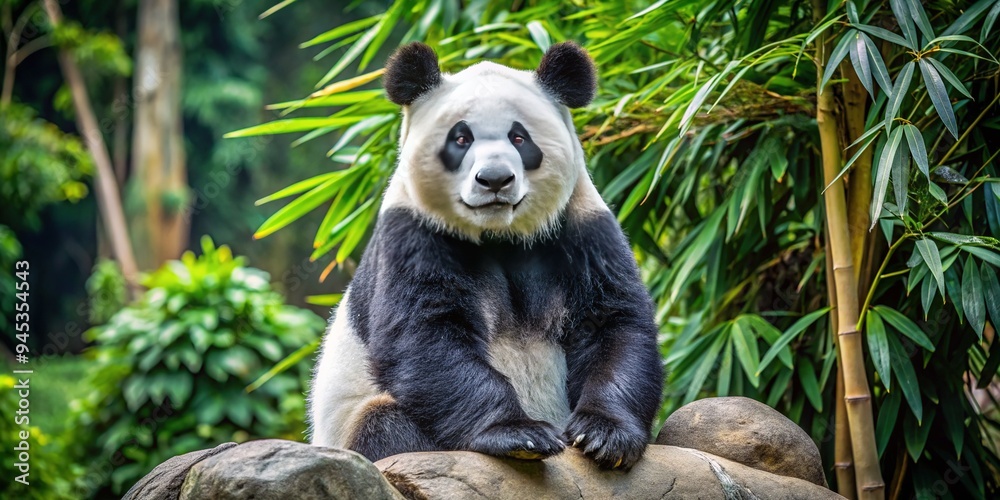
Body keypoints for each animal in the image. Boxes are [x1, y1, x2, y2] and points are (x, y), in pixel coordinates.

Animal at [308, 41, 663, 470]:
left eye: (519, 138)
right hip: (351, 424)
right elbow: (427, 334)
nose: (494, 179)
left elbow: (612, 322)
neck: (499, 233)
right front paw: (517, 435)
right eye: (460, 139)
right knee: (387, 425)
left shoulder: (582, 230)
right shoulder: (414, 234)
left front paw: (605, 435)